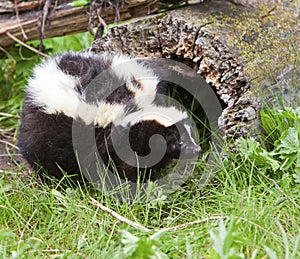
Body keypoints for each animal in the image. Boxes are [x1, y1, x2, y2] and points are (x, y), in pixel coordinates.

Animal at [18, 51, 202, 184]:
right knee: (44, 159)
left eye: (191, 133)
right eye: (176, 140)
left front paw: (151, 176)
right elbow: (122, 167)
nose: (196, 149)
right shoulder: (113, 141)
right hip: (42, 130)